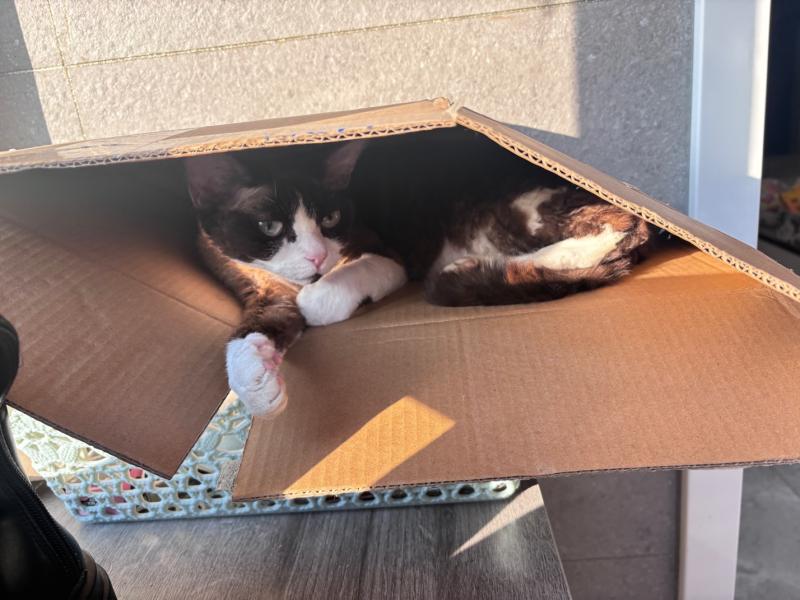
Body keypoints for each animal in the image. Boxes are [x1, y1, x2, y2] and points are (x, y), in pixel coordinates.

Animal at [185, 128, 652, 415]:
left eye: (332, 218)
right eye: (269, 227)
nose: (317, 257)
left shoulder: (387, 252)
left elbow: (318, 298)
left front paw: (315, 300)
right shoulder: (246, 277)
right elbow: (254, 324)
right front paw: (256, 383)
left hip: (527, 204)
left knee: (618, 225)